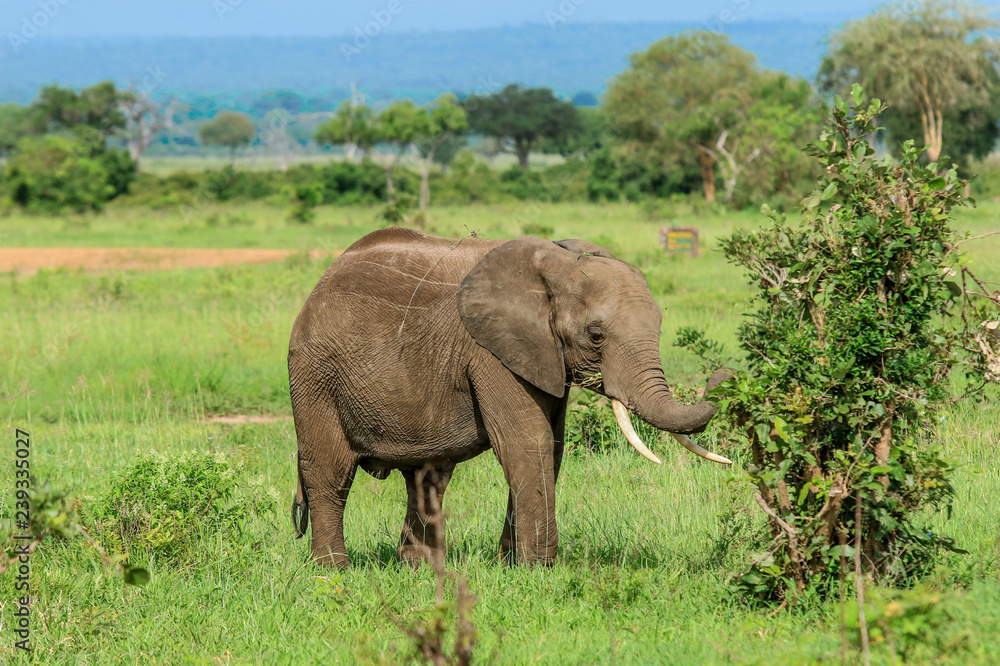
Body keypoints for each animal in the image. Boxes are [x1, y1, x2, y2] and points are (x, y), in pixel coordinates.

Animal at [288, 227, 731, 568]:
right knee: (330, 472)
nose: (722, 374)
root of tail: (320, 283)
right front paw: (539, 572)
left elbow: (551, 448)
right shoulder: (491, 352)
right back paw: (333, 572)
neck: (557, 264)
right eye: (596, 335)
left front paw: (510, 567)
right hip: (315, 376)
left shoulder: (544, 356)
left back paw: (419, 571)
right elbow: (527, 443)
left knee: (427, 479)